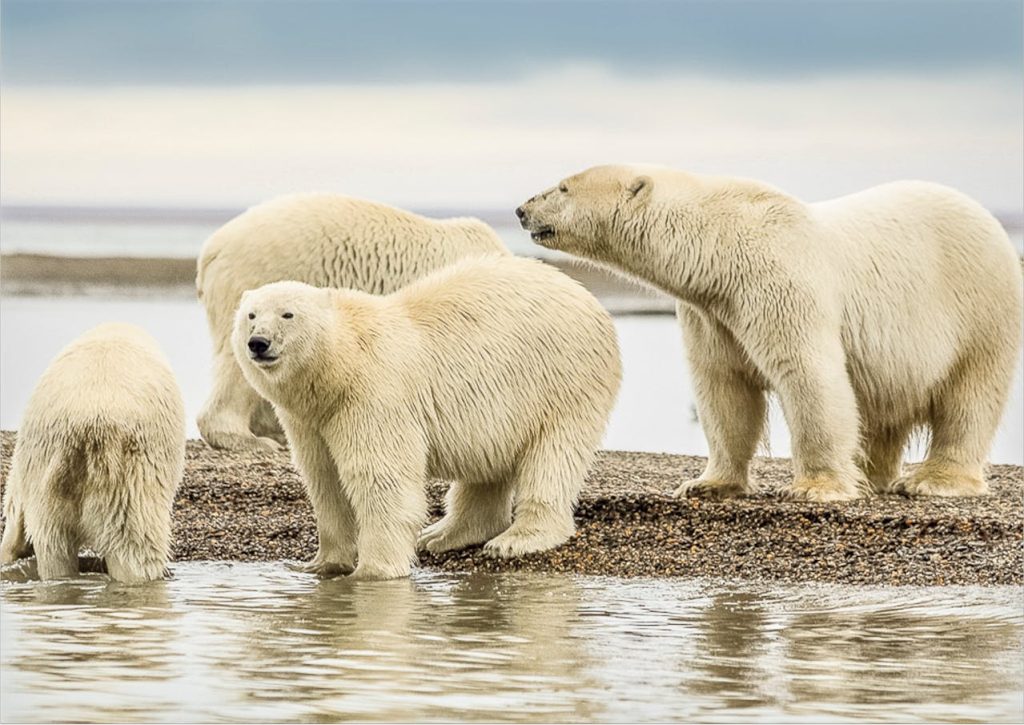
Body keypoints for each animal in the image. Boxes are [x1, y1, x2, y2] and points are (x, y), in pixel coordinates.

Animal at [232, 255, 622, 580]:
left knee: (553, 456)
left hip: (561, 379)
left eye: (288, 314)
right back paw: (443, 534)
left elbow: (381, 478)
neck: (340, 366)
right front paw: (322, 564)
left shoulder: (373, 395)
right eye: (251, 315)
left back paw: (515, 539)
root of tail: (586, 296)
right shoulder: (310, 419)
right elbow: (324, 478)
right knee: (487, 465)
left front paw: (373, 571)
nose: (259, 342)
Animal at [516, 164, 1023, 501]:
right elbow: (723, 389)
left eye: (562, 187)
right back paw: (870, 472)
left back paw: (934, 480)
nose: (521, 209)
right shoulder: (711, 312)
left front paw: (816, 488)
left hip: (980, 307)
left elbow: (809, 375)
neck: (719, 247)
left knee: (970, 395)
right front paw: (706, 483)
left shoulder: (778, 284)